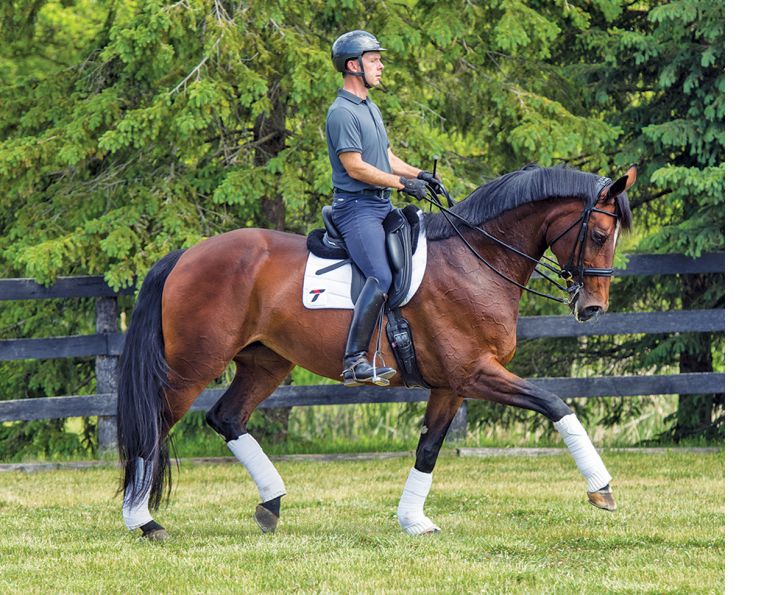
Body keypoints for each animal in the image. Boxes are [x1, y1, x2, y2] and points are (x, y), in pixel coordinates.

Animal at [117, 164, 636, 540]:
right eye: (597, 235)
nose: (592, 308)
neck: (474, 260)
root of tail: (186, 255)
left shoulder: (451, 385)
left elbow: (429, 448)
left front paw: (413, 520)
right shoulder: (475, 373)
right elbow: (555, 403)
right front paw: (602, 489)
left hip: (266, 362)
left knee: (225, 417)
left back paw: (270, 504)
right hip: (192, 367)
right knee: (153, 427)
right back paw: (145, 522)